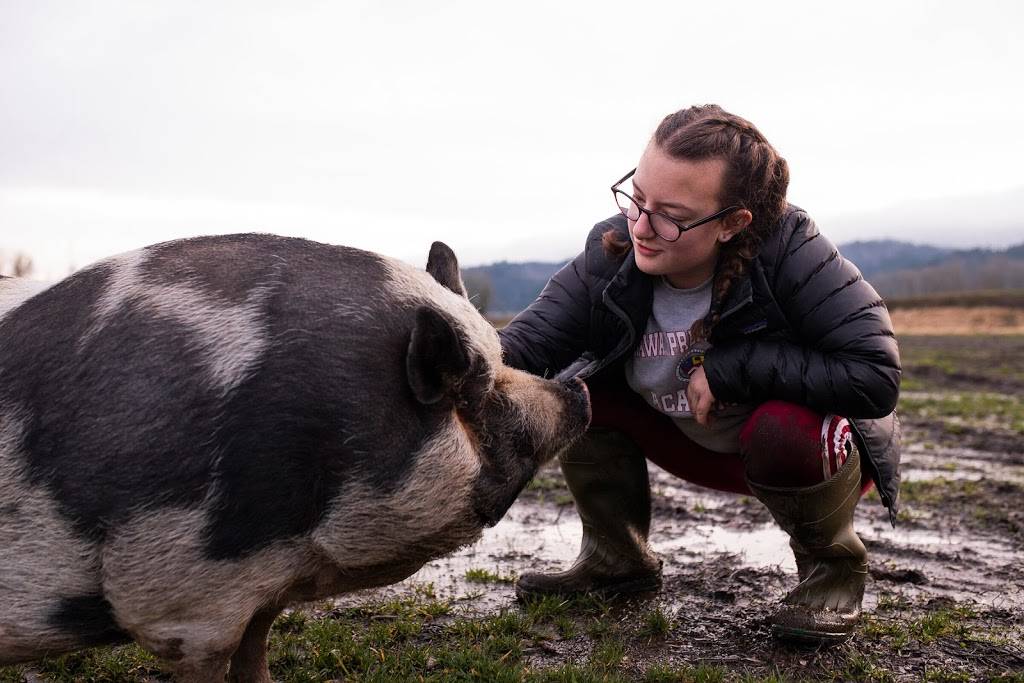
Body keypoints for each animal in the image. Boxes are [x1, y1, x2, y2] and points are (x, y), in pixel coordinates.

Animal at [0, 236, 593, 683]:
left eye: (500, 354)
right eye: (473, 394)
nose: (579, 389)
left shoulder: (265, 583)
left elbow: (257, 645)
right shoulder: (182, 598)